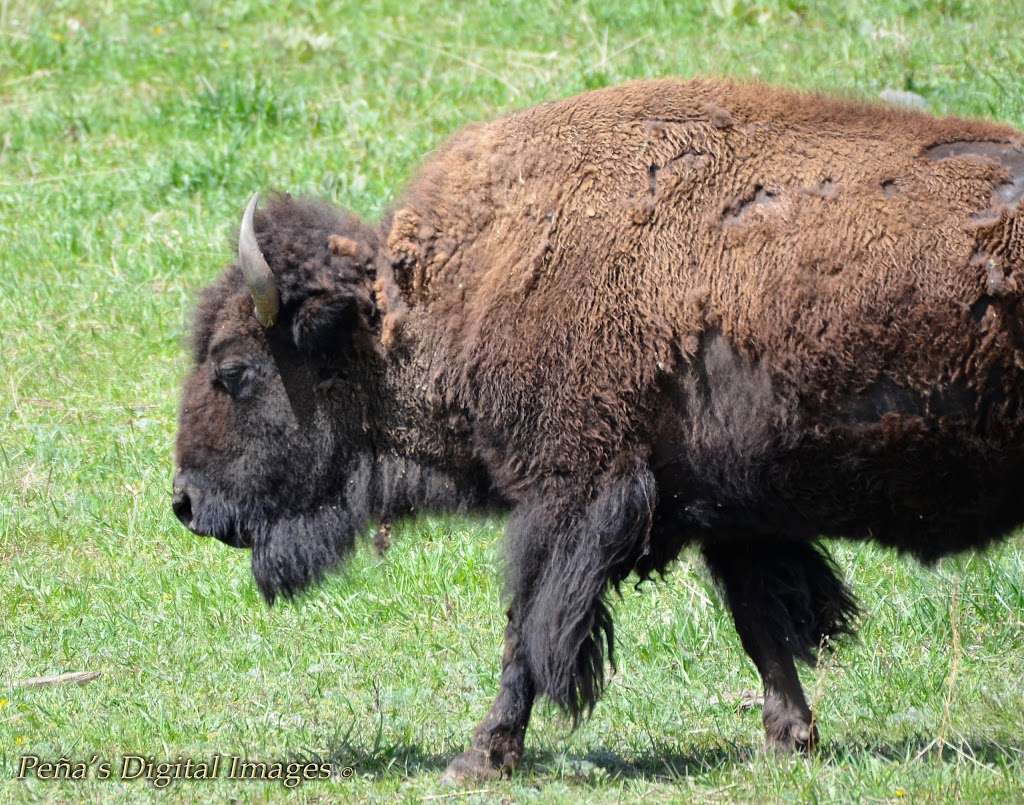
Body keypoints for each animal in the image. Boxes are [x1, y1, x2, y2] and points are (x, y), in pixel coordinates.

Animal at [172, 76, 1024, 778]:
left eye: (235, 370)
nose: (184, 502)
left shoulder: (572, 496)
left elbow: (529, 627)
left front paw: (481, 755)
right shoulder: (733, 512)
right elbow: (761, 622)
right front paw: (789, 737)